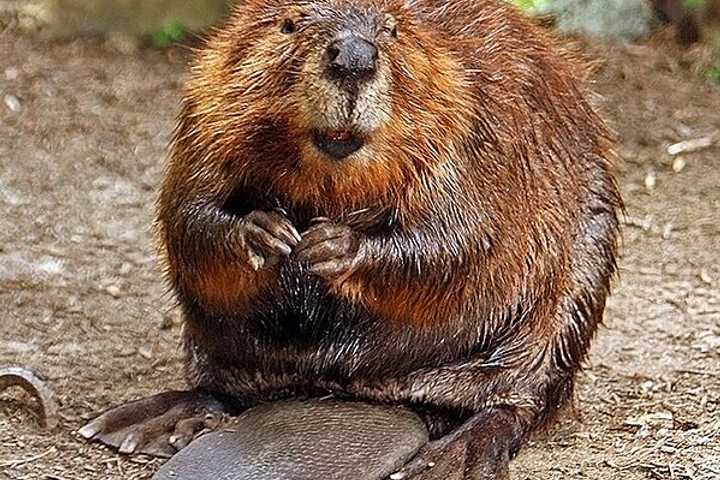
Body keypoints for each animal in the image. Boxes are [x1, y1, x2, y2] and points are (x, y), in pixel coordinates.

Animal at [77, 0, 620, 476]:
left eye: (393, 30)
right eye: (289, 23)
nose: (354, 57)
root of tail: (370, 393)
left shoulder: (478, 121)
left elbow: (461, 236)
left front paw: (330, 246)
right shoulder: (208, 104)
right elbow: (188, 211)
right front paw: (267, 233)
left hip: (578, 281)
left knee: (518, 401)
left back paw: (451, 458)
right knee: (225, 388)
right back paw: (140, 423)